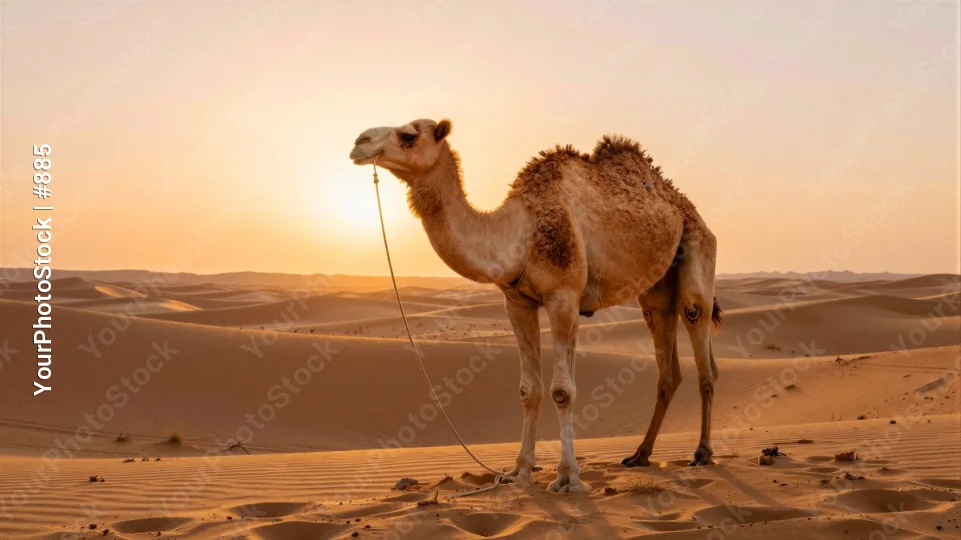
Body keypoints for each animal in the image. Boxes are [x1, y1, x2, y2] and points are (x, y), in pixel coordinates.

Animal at [349, 118, 721, 493]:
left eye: (408, 135)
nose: (359, 142)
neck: (519, 232)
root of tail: (683, 204)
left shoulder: (563, 296)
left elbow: (562, 391)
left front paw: (568, 477)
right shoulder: (518, 303)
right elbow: (529, 391)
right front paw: (519, 472)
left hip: (698, 248)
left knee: (700, 341)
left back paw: (702, 453)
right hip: (656, 291)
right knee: (667, 366)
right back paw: (640, 454)